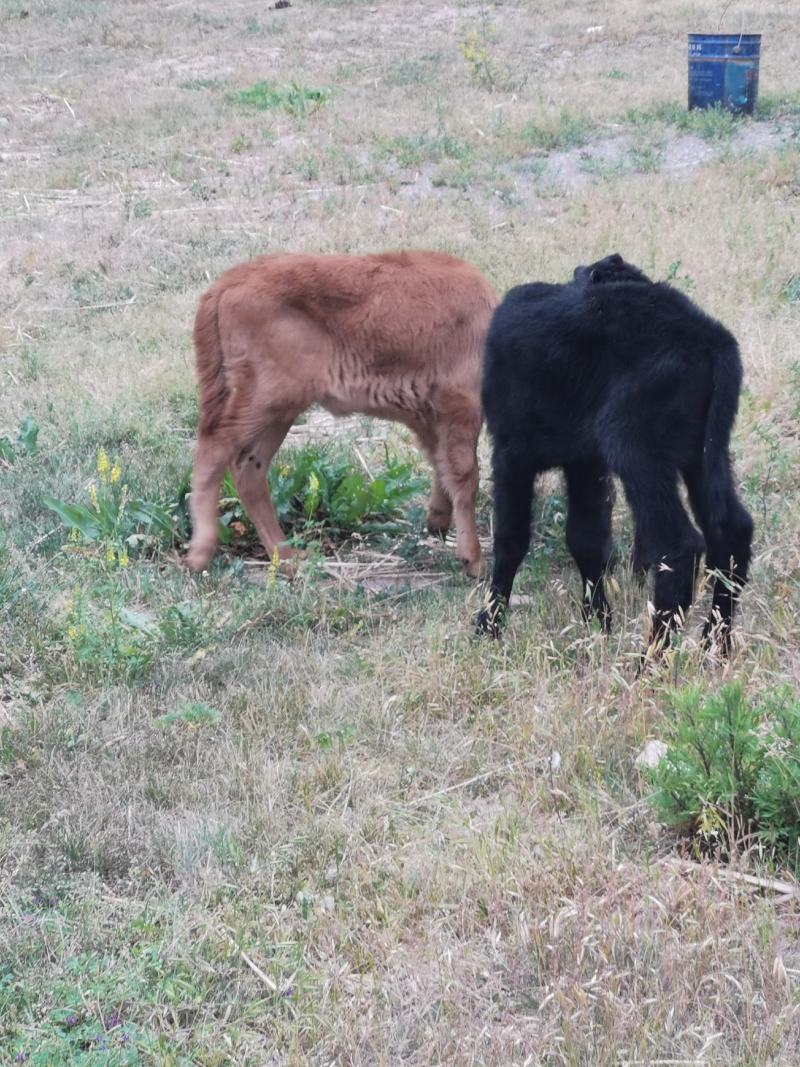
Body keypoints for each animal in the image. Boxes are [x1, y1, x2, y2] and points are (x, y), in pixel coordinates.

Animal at [188, 250, 501, 580]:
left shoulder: (430, 416)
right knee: (215, 446)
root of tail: (229, 280)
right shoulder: (461, 403)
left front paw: (438, 522)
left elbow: (442, 464)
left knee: (248, 468)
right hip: (269, 400)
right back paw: (200, 554)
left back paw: (287, 558)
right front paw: (474, 561)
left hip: (278, 413)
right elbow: (466, 475)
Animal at [480, 256, 755, 648]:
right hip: (702, 455)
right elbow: (586, 538)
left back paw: (653, 656)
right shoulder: (584, 462)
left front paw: (489, 623)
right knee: (732, 530)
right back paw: (714, 645)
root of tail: (713, 340)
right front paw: (597, 624)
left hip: (634, 447)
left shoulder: (510, 450)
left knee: (680, 546)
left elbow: (510, 538)